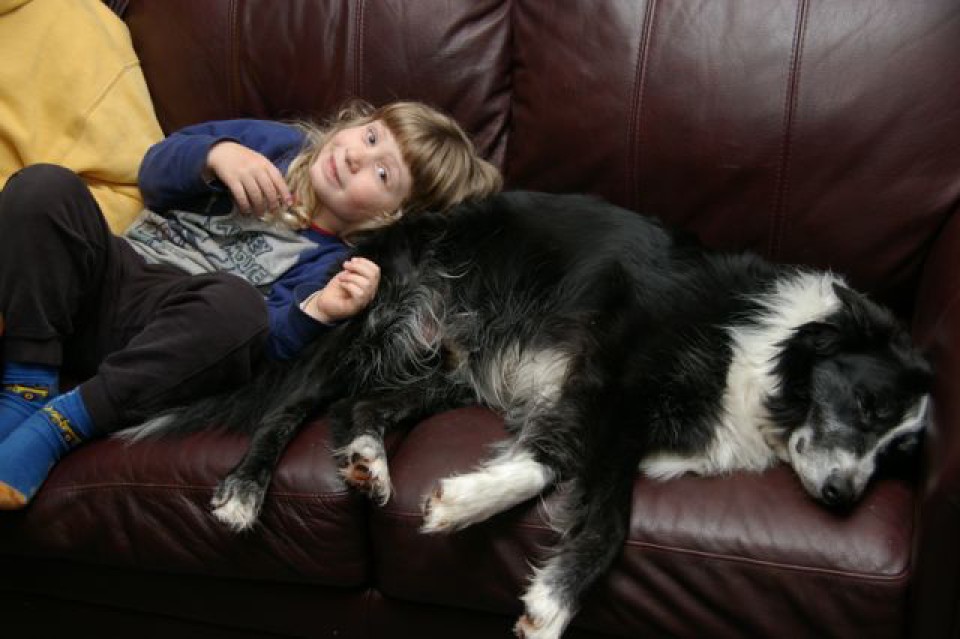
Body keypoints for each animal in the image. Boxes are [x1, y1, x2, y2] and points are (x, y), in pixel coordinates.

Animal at [124, 190, 932, 639]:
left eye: (897, 454)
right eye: (867, 405)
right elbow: (604, 517)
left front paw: (469, 503)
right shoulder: (609, 377)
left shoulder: (586, 403)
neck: (767, 356)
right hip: (379, 315)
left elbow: (557, 462)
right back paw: (245, 489)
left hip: (448, 367)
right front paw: (548, 598)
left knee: (364, 403)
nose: (843, 498)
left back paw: (368, 459)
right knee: (292, 406)